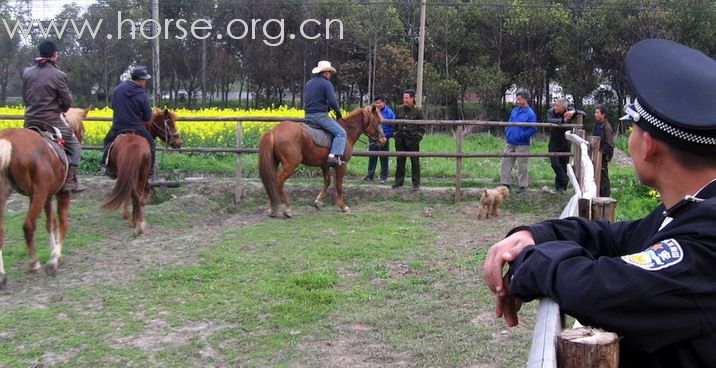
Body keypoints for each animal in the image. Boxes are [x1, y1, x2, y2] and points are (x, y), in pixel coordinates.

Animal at [0, 106, 89, 284]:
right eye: (82, 130)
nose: (81, 138)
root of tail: (9, 140)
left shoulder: (45, 196)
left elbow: (50, 223)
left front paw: (54, 251)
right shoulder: (61, 194)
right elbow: (62, 223)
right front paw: (54, 259)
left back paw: (2, 275)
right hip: (39, 194)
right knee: (28, 225)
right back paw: (34, 263)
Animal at [258, 105, 386, 217]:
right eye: (378, 122)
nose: (383, 140)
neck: (347, 131)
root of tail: (273, 131)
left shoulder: (325, 165)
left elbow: (327, 181)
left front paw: (318, 202)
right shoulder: (341, 165)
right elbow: (338, 185)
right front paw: (343, 206)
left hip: (274, 163)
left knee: (271, 182)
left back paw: (273, 209)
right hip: (291, 164)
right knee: (278, 182)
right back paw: (287, 208)